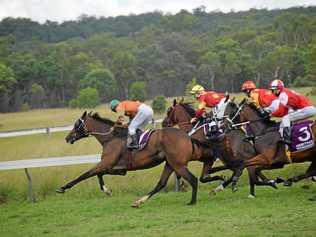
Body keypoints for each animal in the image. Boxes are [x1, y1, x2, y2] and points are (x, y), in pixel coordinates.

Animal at [57, 111, 205, 206]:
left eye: (76, 125)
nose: (67, 138)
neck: (111, 138)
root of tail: (187, 136)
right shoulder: (115, 168)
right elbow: (98, 174)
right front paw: (107, 191)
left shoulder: (106, 164)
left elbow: (85, 175)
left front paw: (62, 188)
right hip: (170, 163)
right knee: (161, 183)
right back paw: (139, 201)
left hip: (178, 164)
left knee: (193, 179)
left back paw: (192, 202)